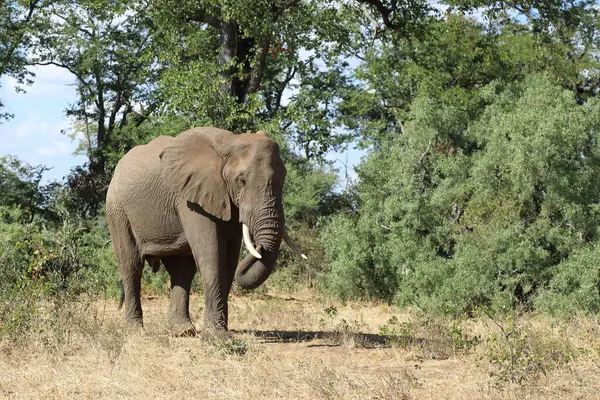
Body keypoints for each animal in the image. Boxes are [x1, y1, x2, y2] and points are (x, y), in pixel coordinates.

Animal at [105, 127, 302, 334]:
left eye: (283, 180)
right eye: (241, 180)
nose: (260, 248)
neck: (230, 142)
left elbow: (230, 259)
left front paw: (218, 332)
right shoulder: (191, 198)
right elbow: (212, 255)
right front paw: (217, 336)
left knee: (182, 270)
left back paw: (182, 332)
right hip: (117, 209)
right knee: (131, 266)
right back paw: (136, 331)